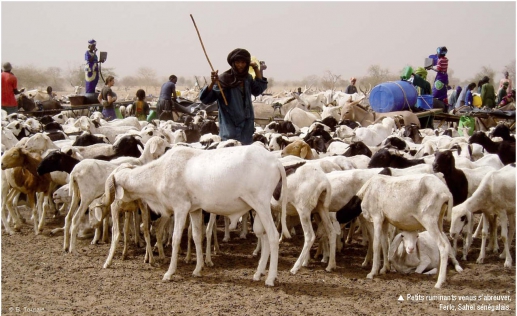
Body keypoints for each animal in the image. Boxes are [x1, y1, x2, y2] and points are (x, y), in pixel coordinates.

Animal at [103, 146, 288, 286]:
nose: (112, 204)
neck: (160, 172)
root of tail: (276, 162)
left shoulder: (181, 207)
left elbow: (176, 238)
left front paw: (169, 272)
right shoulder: (195, 210)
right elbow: (197, 236)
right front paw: (198, 269)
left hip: (261, 203)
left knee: (273, 236)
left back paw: (270, 278)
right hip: (259, 208)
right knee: (264, 236)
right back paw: (258, 274)